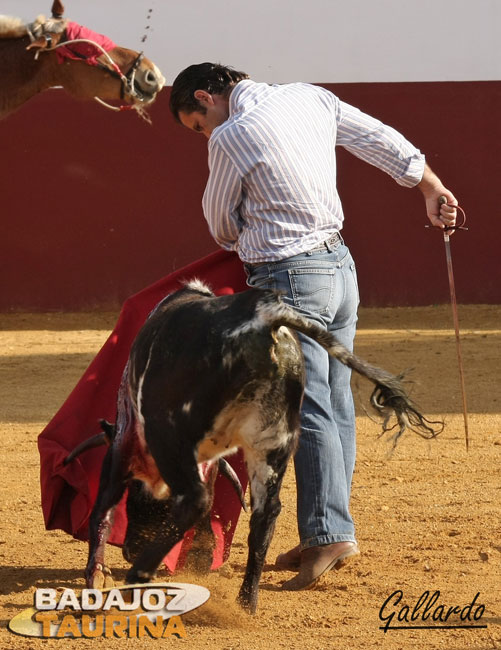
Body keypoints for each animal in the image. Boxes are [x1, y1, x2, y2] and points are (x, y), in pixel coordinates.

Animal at [84, 280, 440, 612]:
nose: (129, 550)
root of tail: (264, 313)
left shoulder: (123, 443)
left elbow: (102, 510)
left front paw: (97, 575)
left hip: (169, 431)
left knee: (197, 499)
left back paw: (140, 575)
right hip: (272, 445)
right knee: (264, 515)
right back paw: (245, 604)